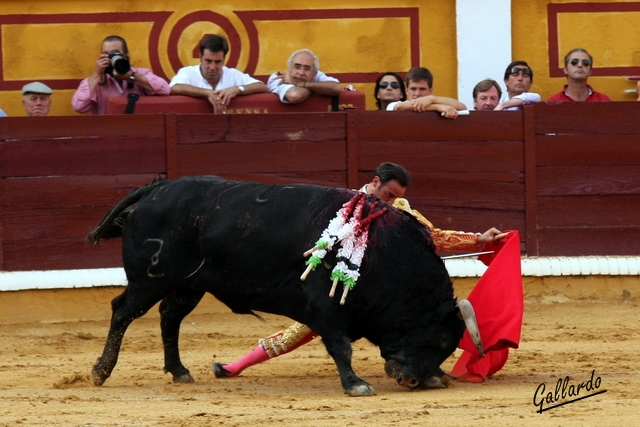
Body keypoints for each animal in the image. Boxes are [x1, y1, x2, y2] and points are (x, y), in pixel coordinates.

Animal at [87, 176, 472, 396]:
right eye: (441, 339)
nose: (412, 381)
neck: (382, 254)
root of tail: (157, 189)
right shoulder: (327, 308)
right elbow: (341, 347)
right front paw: (356, 385)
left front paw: (436, 376)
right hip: (150, 279)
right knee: (123, 311)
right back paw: (100, 371)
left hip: (188, 285)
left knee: (170, 317)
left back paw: (180, 372)